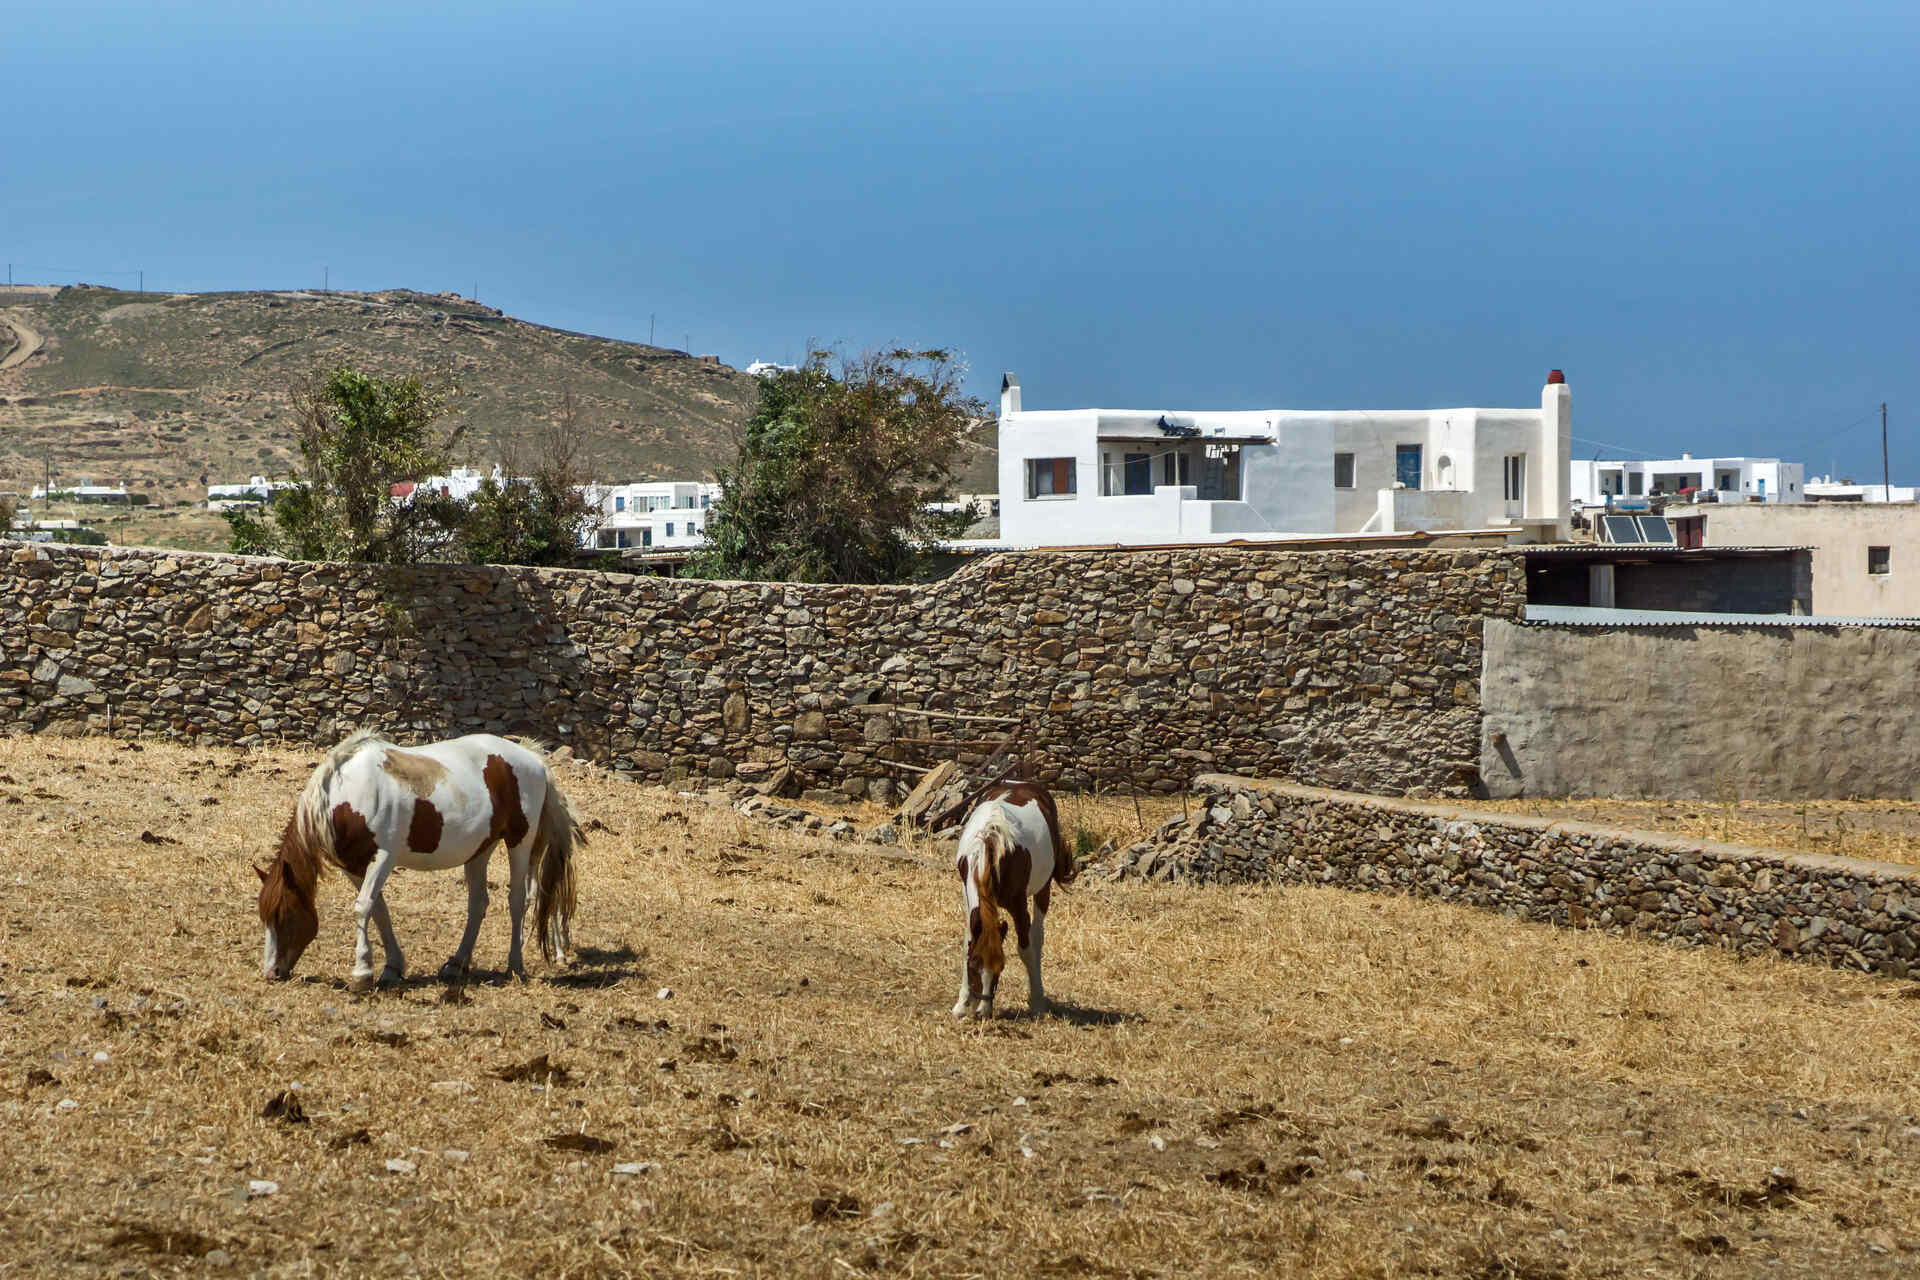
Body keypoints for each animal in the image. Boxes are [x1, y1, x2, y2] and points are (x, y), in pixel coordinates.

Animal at [257, 729, 583, 990]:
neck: (348, 794)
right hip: (481, 849)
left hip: (520, 842)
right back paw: (456, 963)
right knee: (478, 904)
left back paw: (514, 965)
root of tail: (533, 758)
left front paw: (362, 973)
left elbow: (363, 908)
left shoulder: (383, 858)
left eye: (284, 914)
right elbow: (379, 911)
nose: (271, 973)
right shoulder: (354, 867)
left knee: (518, 901)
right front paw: (391, 968)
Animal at [952, 782, 1075, 1020]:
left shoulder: (1018, 906)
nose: (982, 1012)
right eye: (974, 965)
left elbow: (1025, 949)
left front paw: (1037, 1003)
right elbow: (966, 944)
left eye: (1000, 968)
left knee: (1036, 937)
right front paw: (962, 1004)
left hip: (1042, 890)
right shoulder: (968, 898)